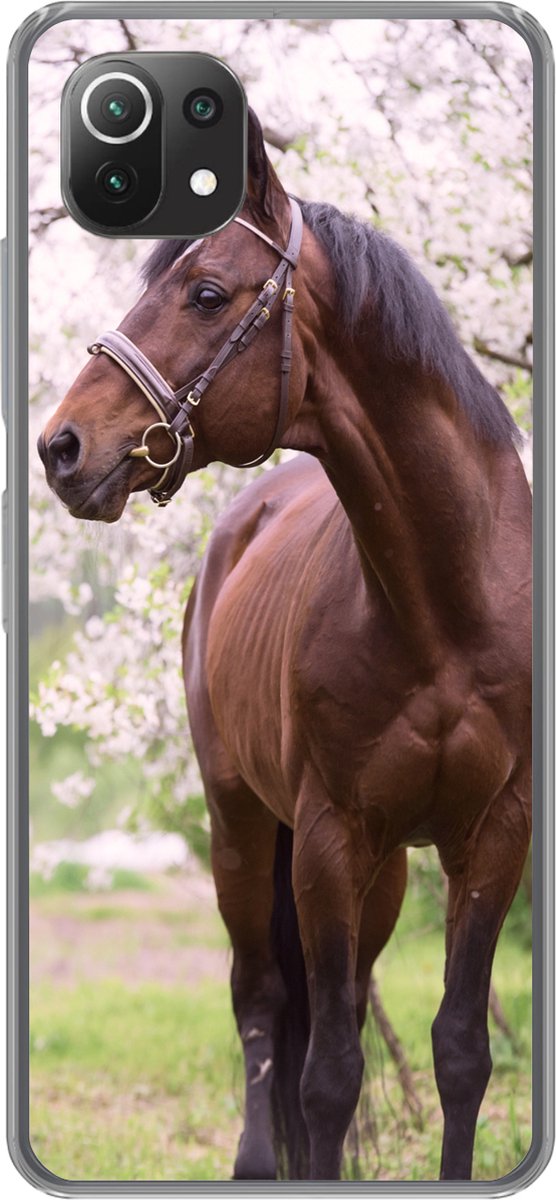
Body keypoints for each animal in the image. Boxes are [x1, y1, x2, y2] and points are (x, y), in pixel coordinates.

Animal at [38, 109, 532, 1181]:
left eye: (206, 293)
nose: (60, 447)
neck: (448, 608)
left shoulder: (493, 837)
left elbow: (460, 1052)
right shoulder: (329, 839)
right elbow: (329, 1075)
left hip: (381, 872)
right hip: (244, 826)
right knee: (266, 1006)